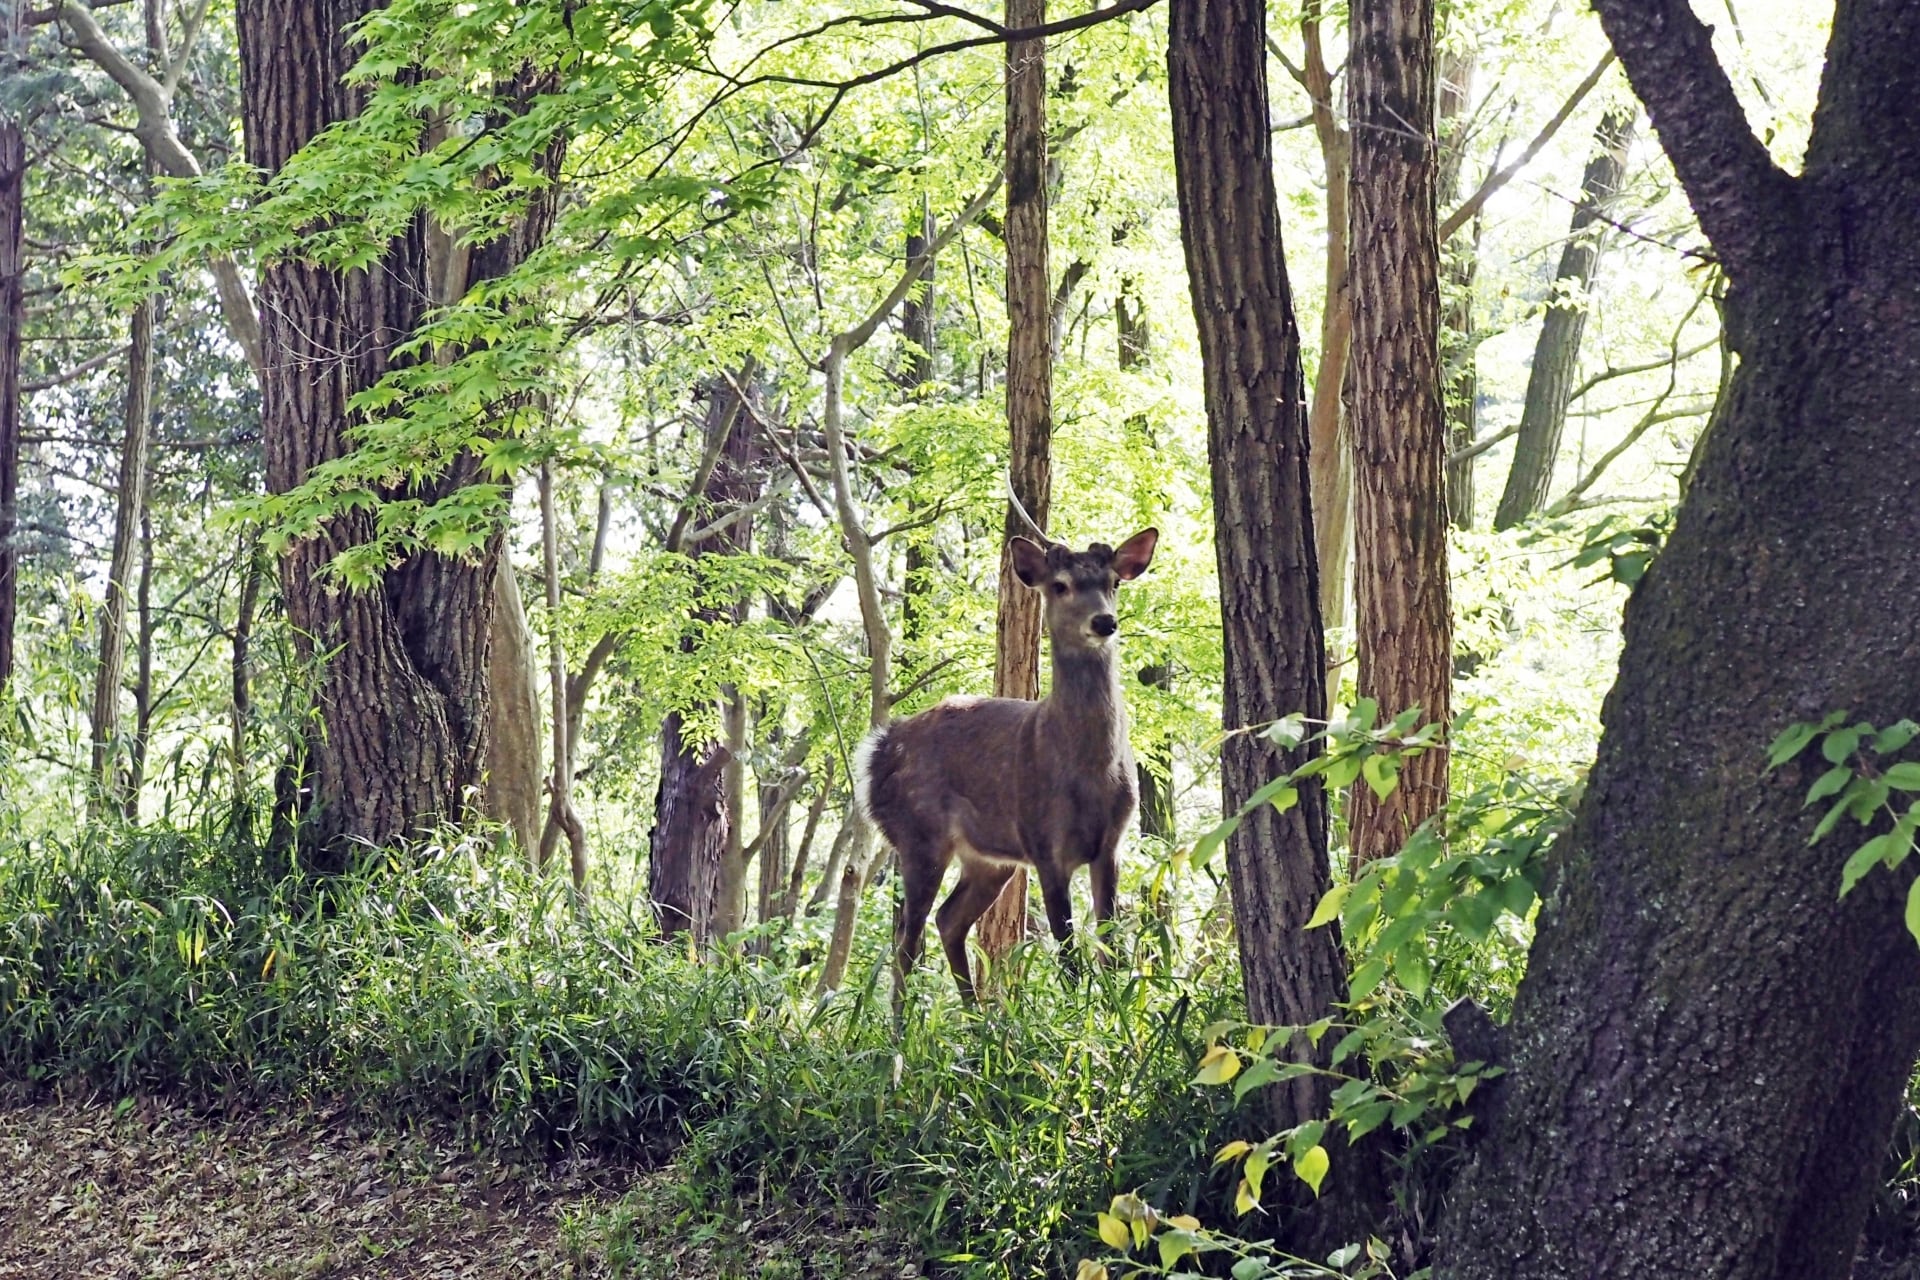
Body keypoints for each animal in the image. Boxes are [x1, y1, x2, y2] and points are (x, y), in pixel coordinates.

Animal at [854, 526, 1159, 1003]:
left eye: (1113, 583)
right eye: (1060, 585)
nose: (1104, 622)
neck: (1089, 771)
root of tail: (876, 752)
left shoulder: (1110, 845)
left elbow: (1110, 946)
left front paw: (1115, 1010)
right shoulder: (1044, 843)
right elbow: (1068, 952)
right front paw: (1080, 1016)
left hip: (989, 859)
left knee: (948, 919)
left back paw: (975, 1014)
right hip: (918, 834)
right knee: (907, 937)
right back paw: (904, 1021)